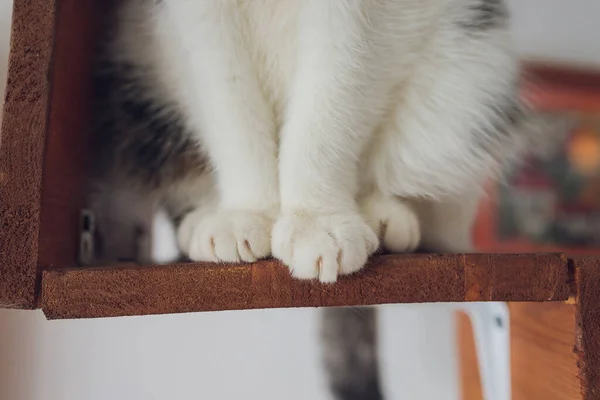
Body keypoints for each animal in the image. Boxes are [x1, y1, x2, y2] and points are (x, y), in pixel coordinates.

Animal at [89, 0, 524, 282]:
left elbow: (332, 99)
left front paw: (317, 218)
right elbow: (229, 99)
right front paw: (246, 210)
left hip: (469, 74)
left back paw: (382, 216)